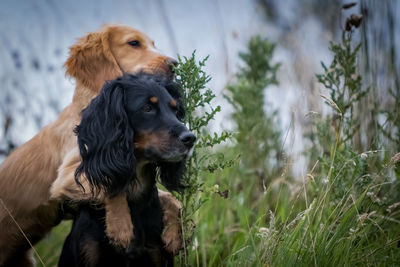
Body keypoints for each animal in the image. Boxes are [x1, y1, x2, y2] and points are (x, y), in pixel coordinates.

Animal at [0, 25, 181, 267]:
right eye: (134, 43)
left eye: (154, 44)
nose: (174, 64)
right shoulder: (68, 175)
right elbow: (111, 186)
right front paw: (120, 227)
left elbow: (169, 197)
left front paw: (172, 234)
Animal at [58, 75, 195, 267]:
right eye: (147, 108)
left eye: (175, 111)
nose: (191, 138)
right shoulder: (89, 253)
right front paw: (120, 226)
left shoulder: (155, 252)